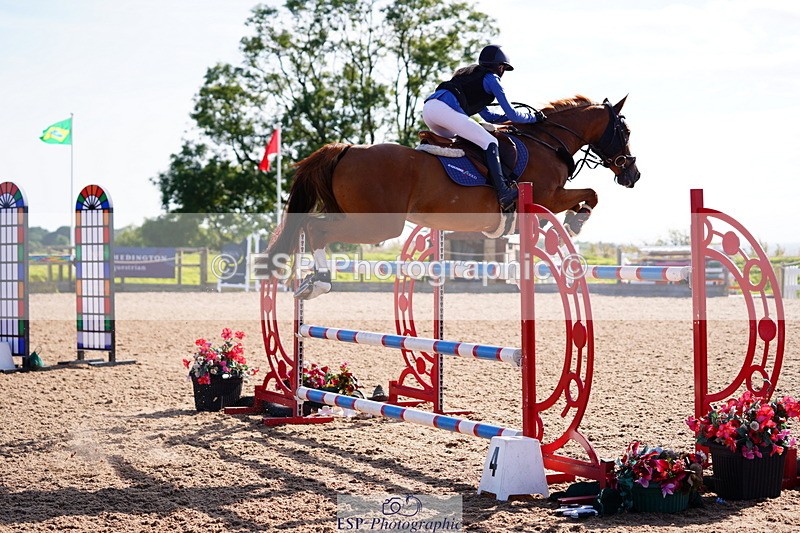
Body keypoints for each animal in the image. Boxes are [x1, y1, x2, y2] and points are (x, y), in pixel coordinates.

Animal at [265, 95, 640, 299]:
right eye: (625, 131)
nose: (632, 174)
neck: (547, 142)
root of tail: (346, 149)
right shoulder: (549, 196)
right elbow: (591, 194)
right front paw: (575, 222)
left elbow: (587, 195)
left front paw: (567, 223)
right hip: (378, 226)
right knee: (316, 228)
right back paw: (319, 284)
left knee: (311, 226)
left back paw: (310, 282)